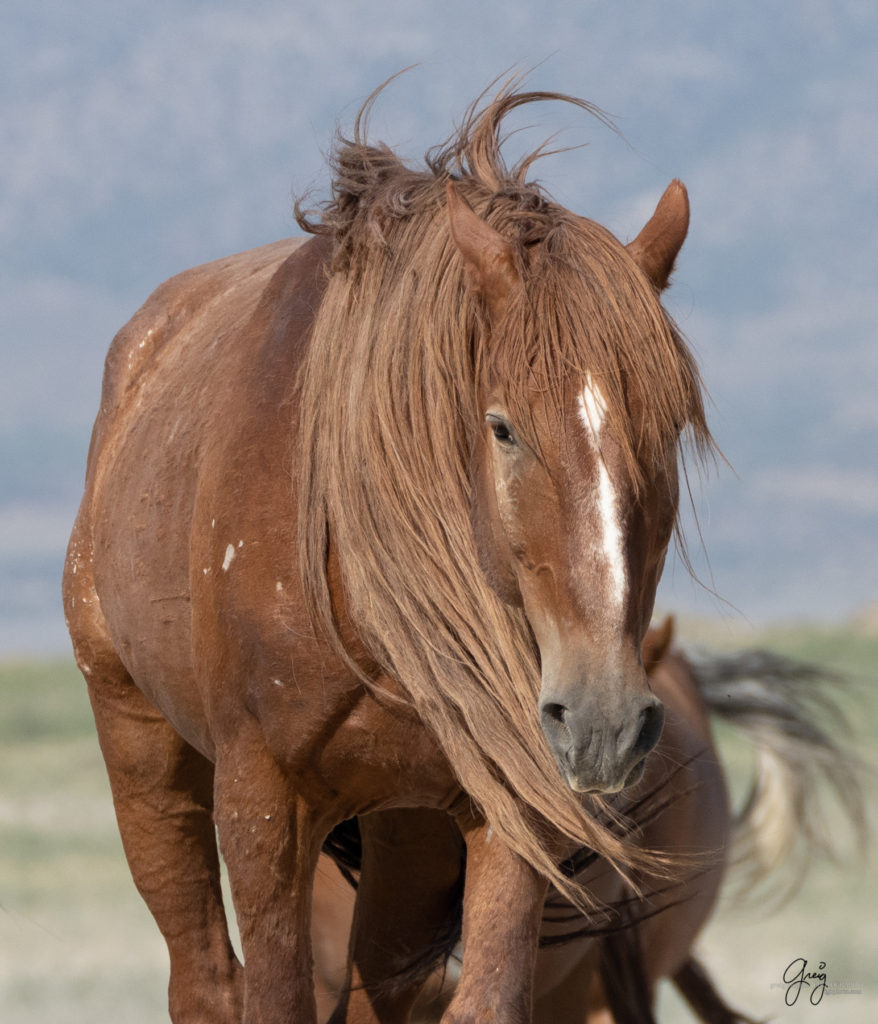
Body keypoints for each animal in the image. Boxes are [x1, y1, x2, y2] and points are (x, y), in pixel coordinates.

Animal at [65, 81, 717, 1024]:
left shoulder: (502, 805)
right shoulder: (262, 805)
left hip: (406, 834)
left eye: (667, 429)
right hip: (142, 751)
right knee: (203, 977)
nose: (605, 723)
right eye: (502, 426)